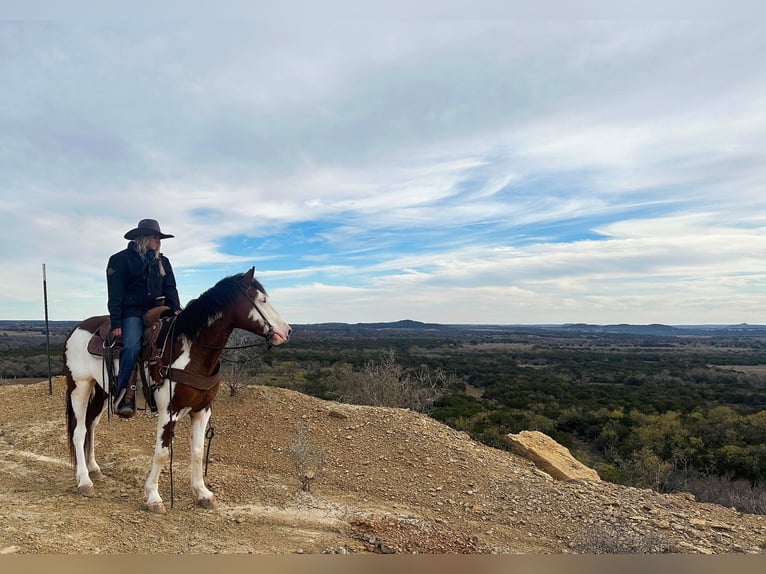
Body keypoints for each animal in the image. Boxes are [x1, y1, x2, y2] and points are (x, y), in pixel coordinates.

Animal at [62, 268, 292, 516]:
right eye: (263, 300)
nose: (287, 331)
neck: (191, 350)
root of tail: (76, 329)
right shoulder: (169, 412)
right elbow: (162, 453)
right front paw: (153, 497)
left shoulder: (202, 410)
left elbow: (198, 451)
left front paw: (203, 493)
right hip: (80, 386)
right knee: (79, 431)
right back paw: (84, 481)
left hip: (103, 390)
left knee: (91, 425)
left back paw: (94, 469)